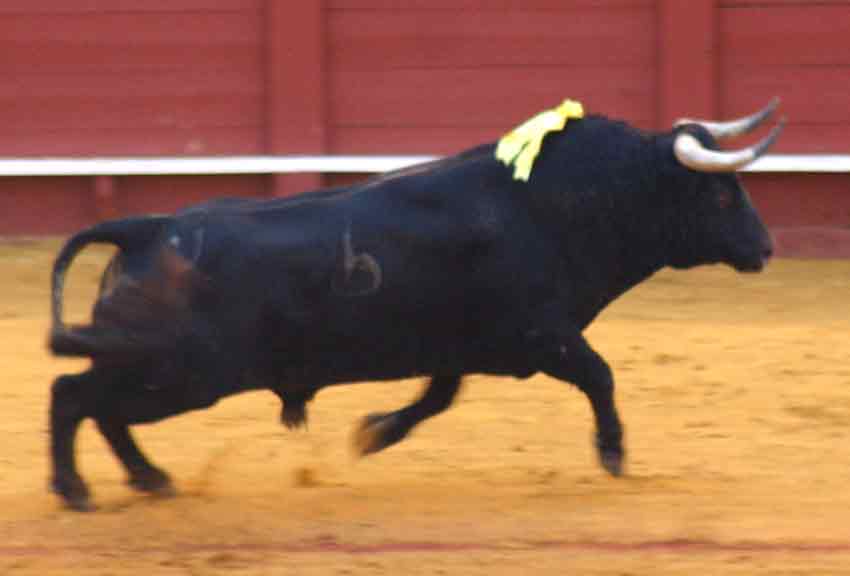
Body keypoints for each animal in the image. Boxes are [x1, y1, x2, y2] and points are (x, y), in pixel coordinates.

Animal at [48, 100, 780, 508]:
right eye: (721, 194)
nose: (765, 247)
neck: (561, 204)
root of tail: (145, 229)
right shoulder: (544, 335)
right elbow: (600, 375)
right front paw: (613, 455)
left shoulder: (464, 347)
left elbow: (437, 397)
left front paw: (373, 434)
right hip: (183, 374)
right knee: (76, 396)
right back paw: (80, 491)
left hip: (163, 370)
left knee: (97, 406)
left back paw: (151, 481)